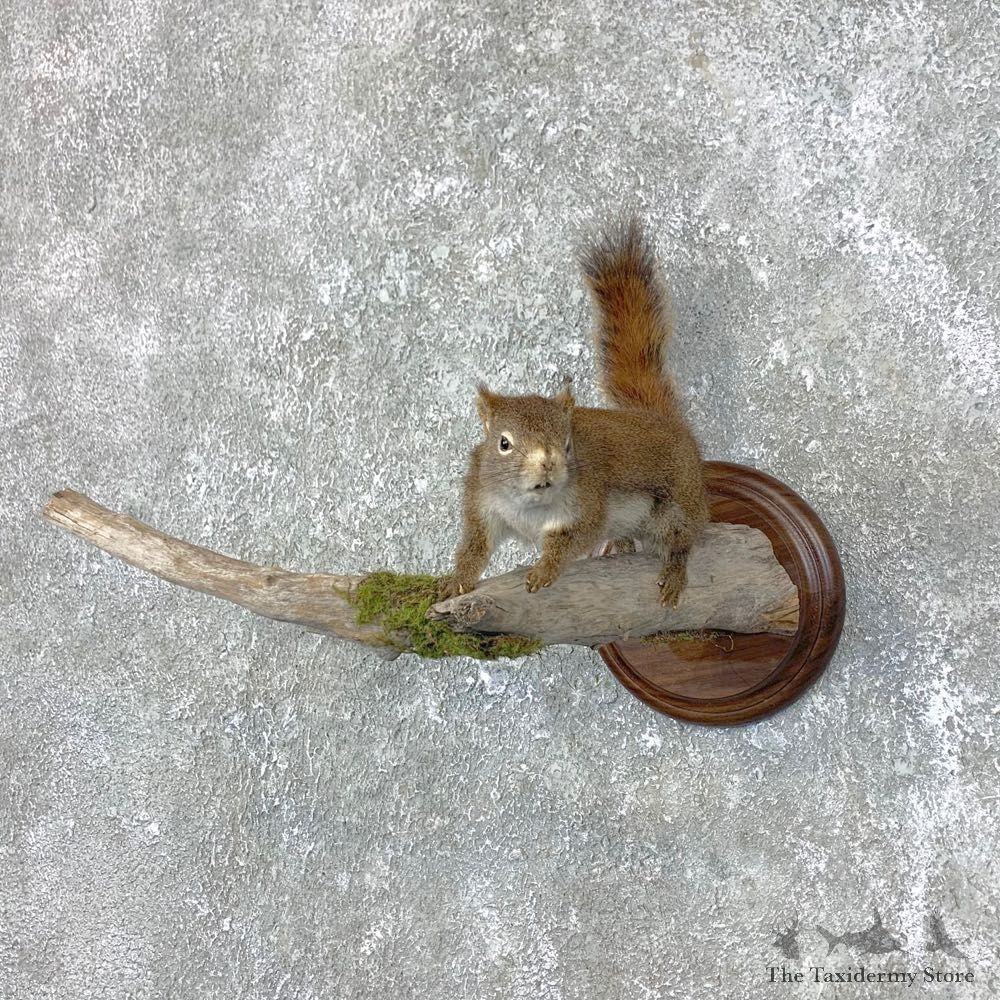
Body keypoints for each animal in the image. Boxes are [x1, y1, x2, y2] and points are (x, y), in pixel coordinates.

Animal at [439, 217, 710, 607]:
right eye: (503, 443)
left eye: (568, 444)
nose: (547, 462)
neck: (530, 505)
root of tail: (662, 422)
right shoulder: (481, 504)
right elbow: (475, 548)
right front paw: (455, 582)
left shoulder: (587, 507)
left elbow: (566, 542)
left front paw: (543, 571)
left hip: (677, 506)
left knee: (680, 544)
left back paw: (673, 574)